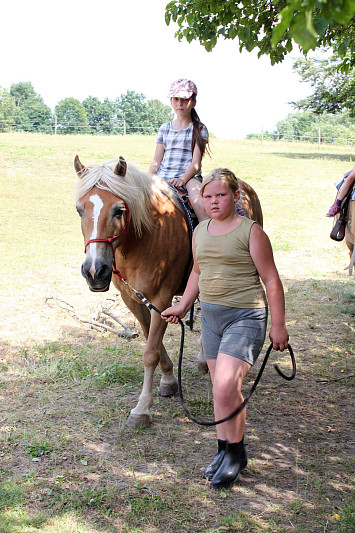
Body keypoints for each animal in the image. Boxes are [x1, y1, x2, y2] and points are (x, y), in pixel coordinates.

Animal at [75, 156, 264, 426]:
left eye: (119, 210)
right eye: (79, 209)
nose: (94, 271)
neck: (144, 238)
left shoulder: (162, 298)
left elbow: (150, 352)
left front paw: (142, 408)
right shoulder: (134, 299)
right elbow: (151, 340)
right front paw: (168, 380)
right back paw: (204, 360)